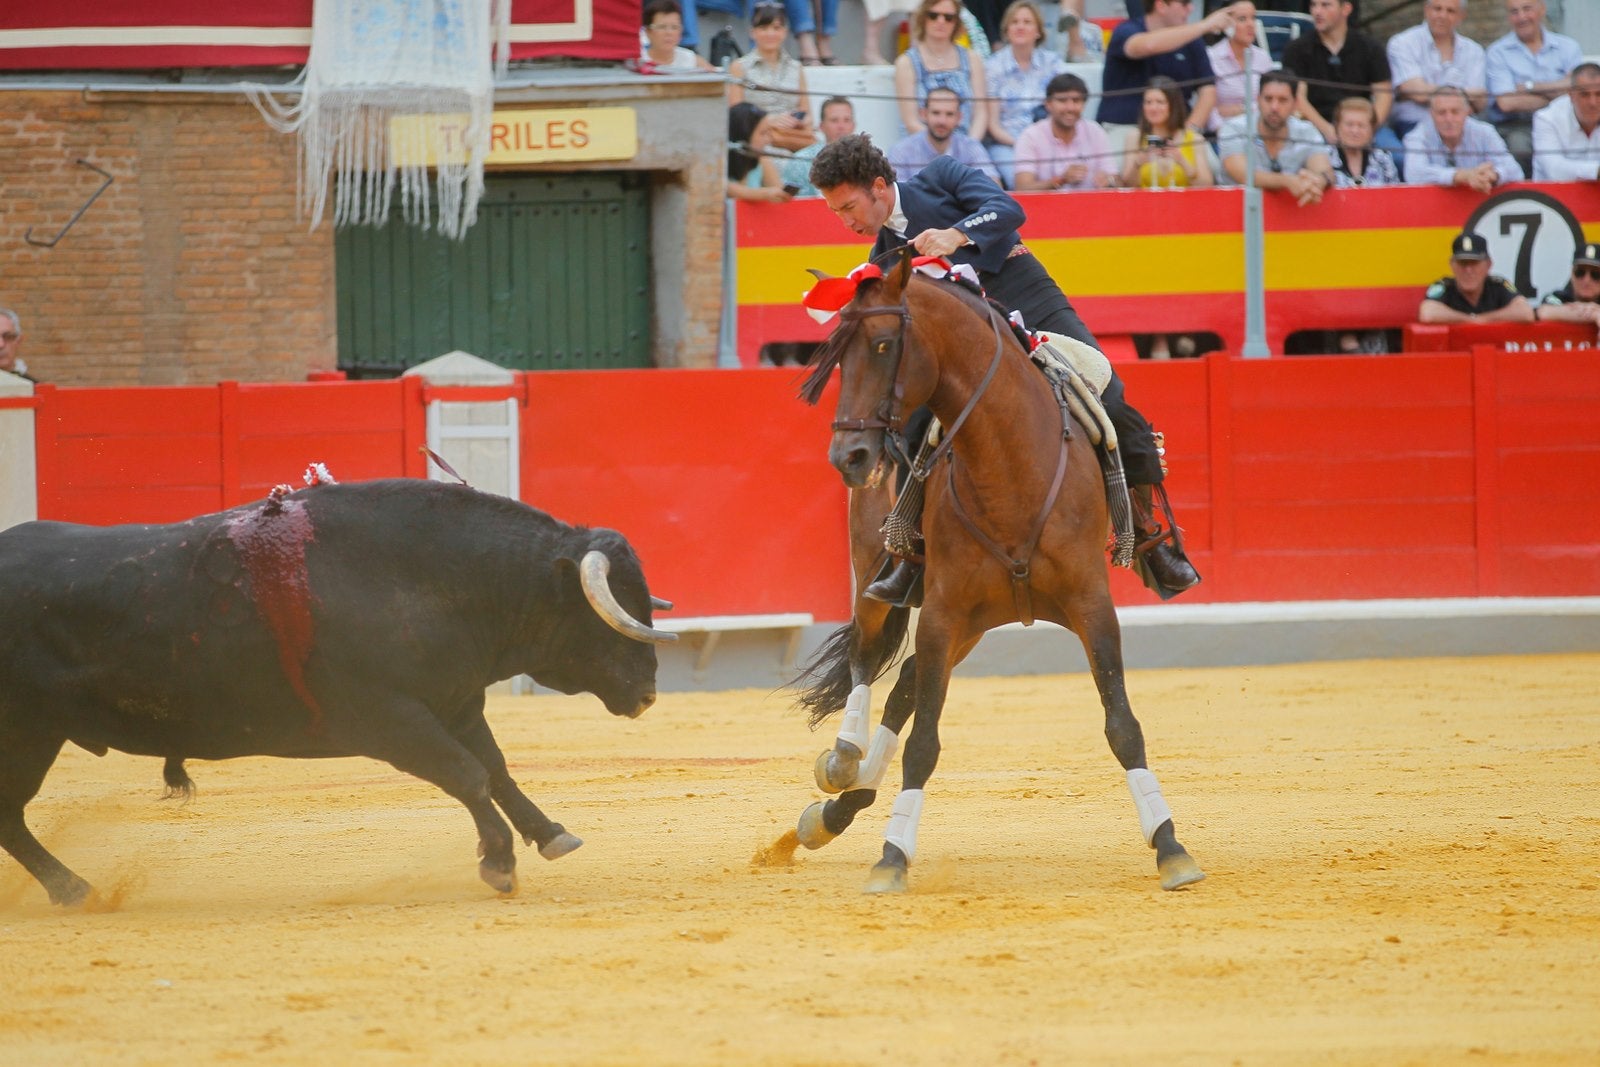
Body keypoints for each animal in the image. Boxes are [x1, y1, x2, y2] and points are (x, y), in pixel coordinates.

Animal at [0, 479, 675, 908]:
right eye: (607, 611)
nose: (647, 693)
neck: (431, 577)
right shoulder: (391, 721)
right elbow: (468, 775)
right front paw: (500, 864)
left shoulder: (456, 705)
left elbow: (497, 770)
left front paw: (550, 834)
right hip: (24, 735)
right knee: (10, 815)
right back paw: (75, 891)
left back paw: (73, 890)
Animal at [793, 247, 1203, 895]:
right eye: (835, 355)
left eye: (883, 345)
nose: (849, 456)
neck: (1008, 463)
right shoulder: (943, 611)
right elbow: (924, 743)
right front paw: (892, 856)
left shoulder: (1091, 606)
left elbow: (1122, 725)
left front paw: (1170, 846)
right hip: (879, 578)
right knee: (867, 653)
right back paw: (843, 761)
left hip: (978, 623)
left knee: (903, 683)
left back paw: (840, 807)